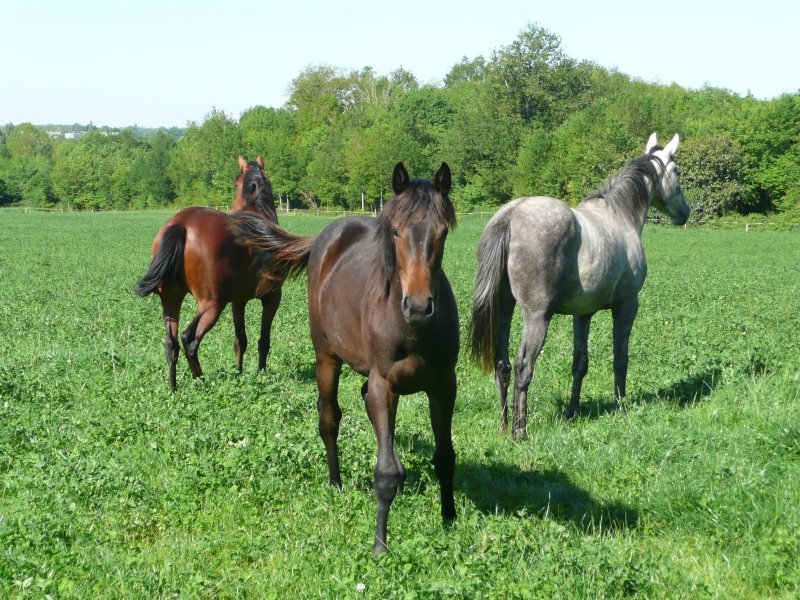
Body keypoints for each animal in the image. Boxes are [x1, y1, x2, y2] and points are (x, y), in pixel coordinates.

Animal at [135, 155, 283, 391]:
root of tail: (181, 224)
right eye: (235, 183)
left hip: (171, 300)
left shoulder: (237, 302)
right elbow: (263, 341)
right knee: (189, 339)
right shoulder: (272, 297)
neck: (257, 210)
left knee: (171, 343)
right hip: (212, 304)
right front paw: (261, 373)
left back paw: (174, 388)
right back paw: (200, 380)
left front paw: (239, 373)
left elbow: (240, 340)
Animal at [231, 163, 459, 555]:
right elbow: (383, 472)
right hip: (327, 356)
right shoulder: (385, 384)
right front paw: (380, 544)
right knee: (329, 418)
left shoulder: (444, 385)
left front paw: (449, 520)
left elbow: (444, 457)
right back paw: (336, 483)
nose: (418, 306)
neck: (413, 330)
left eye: (441, 233)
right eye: (395, 231)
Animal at [469, 133, 689, 439]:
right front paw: (620, 409)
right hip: (537, 317)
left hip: (503, 308)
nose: (685, 213)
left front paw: (573, 411)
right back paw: (519, 431)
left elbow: (580, 363)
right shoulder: (627, 307)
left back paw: (503, 427)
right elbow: (620, 359)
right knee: (523, 367)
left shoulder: (582, 314)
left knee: (502, 365)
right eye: (677, 171)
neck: (620, 215)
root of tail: (510, 217)